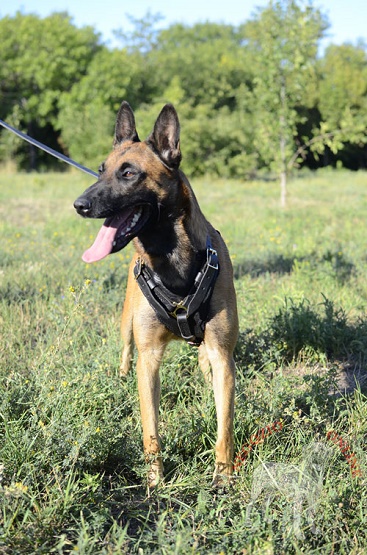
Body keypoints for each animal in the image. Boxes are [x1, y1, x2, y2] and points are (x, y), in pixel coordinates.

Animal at [73, 102, 240, 488]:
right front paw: (155, 482)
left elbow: (224, 425)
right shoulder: (148, 358)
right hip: (126, 325)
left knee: (206, 365)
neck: (173, 263)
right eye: (101, 170)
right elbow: (151, 429)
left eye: (128, 173)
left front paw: (223, 475)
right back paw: (120, 379)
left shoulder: (223, 355)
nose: (79, 204)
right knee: (125, 352)